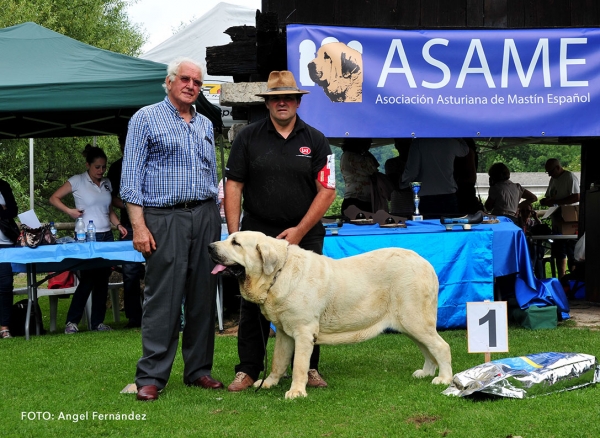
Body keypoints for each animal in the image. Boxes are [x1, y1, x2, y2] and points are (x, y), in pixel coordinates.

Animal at [209, 231, 452, 398]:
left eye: (236, 243)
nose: (210, 246)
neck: (278, 273)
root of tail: (425, 263)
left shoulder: (304, 332)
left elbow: (299, 365)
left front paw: (296, 392)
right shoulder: (285, 333)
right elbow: (279, 360)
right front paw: (269, 382)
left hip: (415, 320)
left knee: (441, 346)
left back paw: (444, 379)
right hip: (410, 324)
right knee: (428, 349)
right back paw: (426, 372)